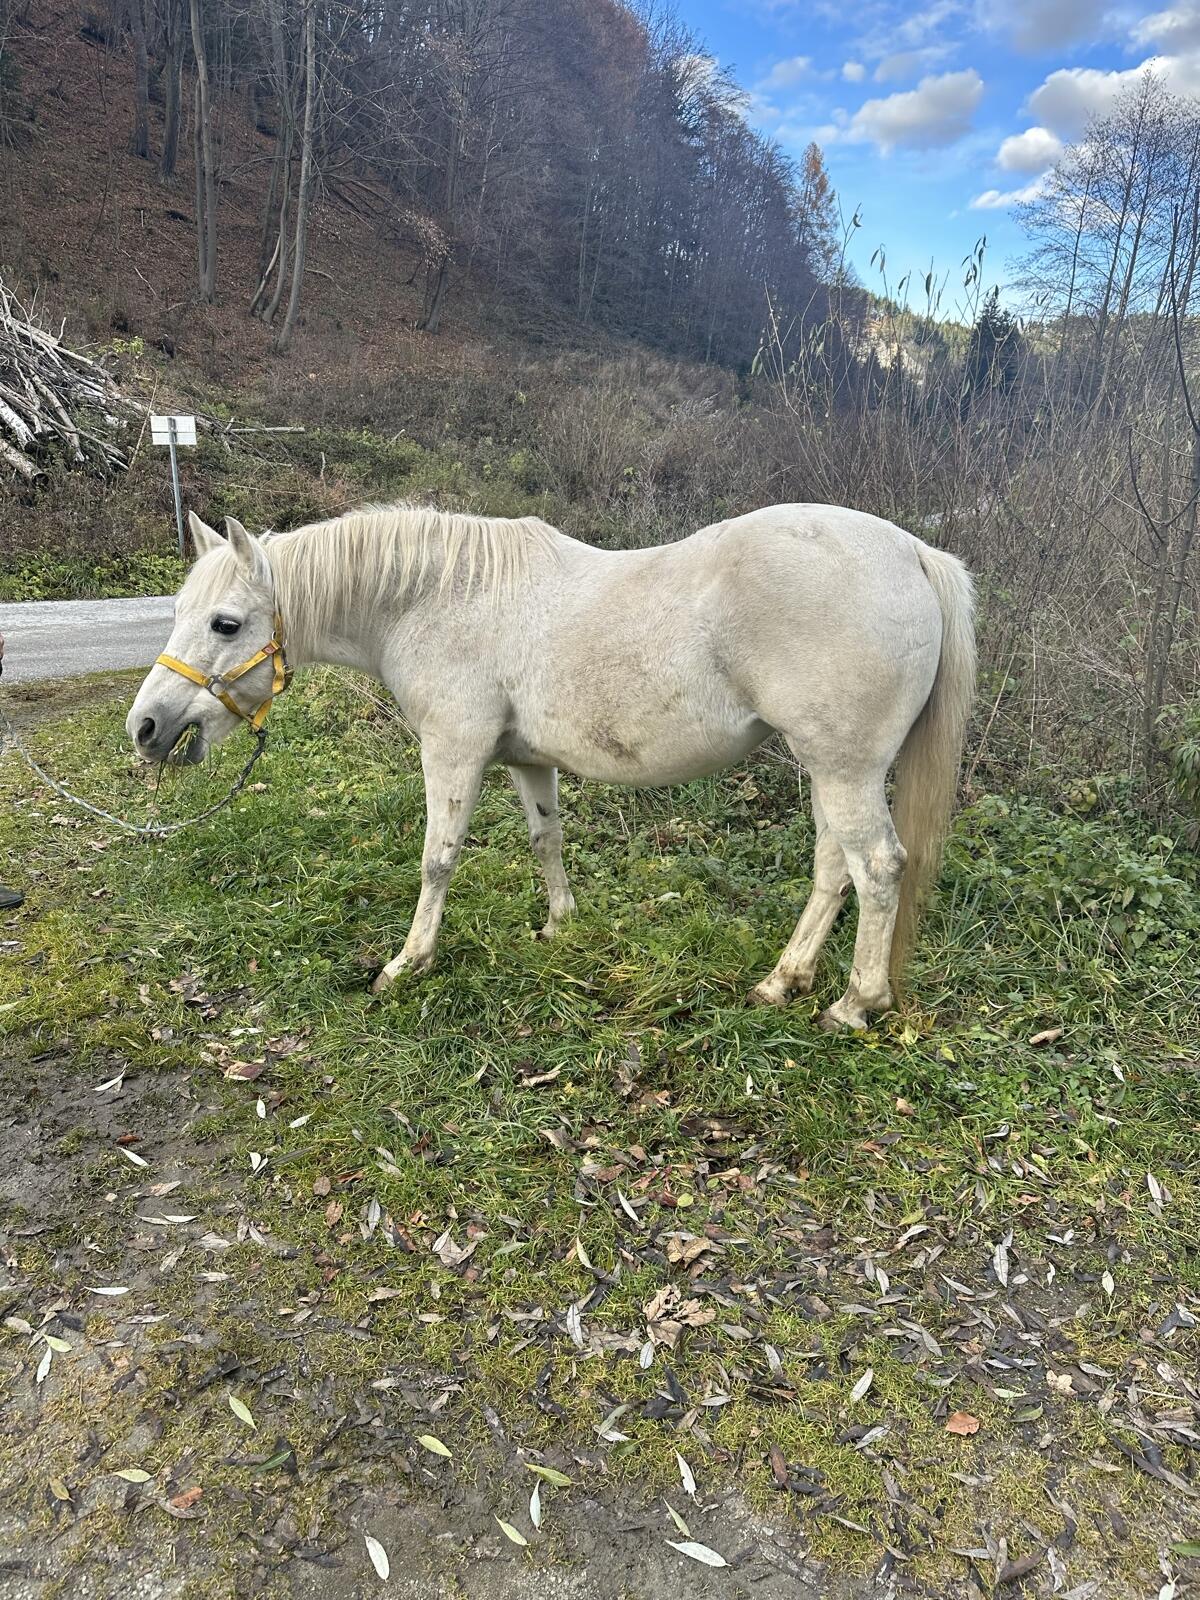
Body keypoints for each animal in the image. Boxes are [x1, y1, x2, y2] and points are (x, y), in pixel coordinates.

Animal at [126, 502, 975, 1029]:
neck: (436, 598)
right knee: (835, 866)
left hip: (844, 770)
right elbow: (547, 840)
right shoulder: (527, 762)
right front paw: (561, 927)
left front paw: (408, 963)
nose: (146, 727)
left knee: (877, 866)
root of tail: (912, 553)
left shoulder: (455, 750)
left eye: (225, 623)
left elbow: (438, 858)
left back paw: (856, 1003)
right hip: (828, 771)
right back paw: (782, 981)